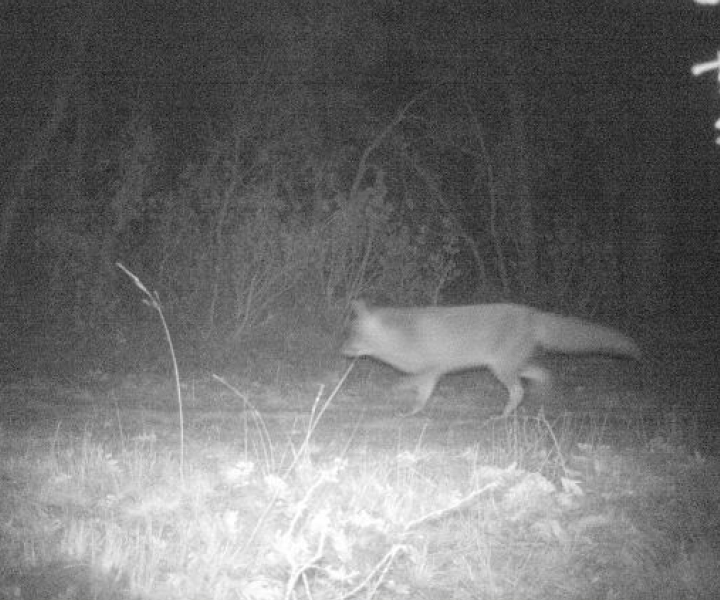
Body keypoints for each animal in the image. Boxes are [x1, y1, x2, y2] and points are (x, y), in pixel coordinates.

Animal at [344, 300, 640, 418]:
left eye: (353, 335)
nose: (341, 351)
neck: (403, 337)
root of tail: (533, 313)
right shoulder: (432, 375)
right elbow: (420, 400)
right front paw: (411, 412)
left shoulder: (431, 370)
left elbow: (405, 385)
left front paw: (395, 397)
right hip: (511, 366)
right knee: (543, 375)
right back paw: (543, 397)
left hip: (502, 369)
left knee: (519, 391)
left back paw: (502, 416)